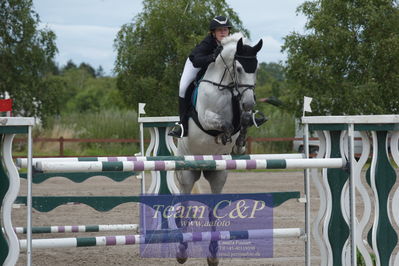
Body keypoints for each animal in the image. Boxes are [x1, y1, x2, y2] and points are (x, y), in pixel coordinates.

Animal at [177, 33, 264, 266]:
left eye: (256, 68)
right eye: (240, 68)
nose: (249, 103)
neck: (225, 86)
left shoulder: (239, 111)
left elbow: (242, 121)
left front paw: (239, 142)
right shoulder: (207, 117)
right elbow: (222, 124)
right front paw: (224, 136)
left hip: (218, 174)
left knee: (213, 213)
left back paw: (213, 255)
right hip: (187, 172)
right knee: (185, 208)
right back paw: (182, 252)